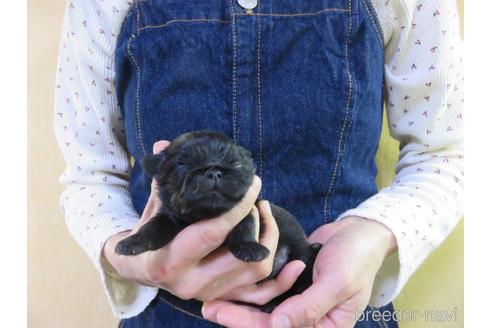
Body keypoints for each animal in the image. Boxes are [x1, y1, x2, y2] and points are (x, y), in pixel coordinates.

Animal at [117, 130, 320, 310]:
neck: (207, 214)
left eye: (235, 164)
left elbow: (245, 226)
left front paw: (249, 247)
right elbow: (153, 227)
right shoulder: (169, 217)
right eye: (182, 166)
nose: (213, 171)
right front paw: (133, 241)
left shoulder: (248, 209)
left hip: (301, 253)